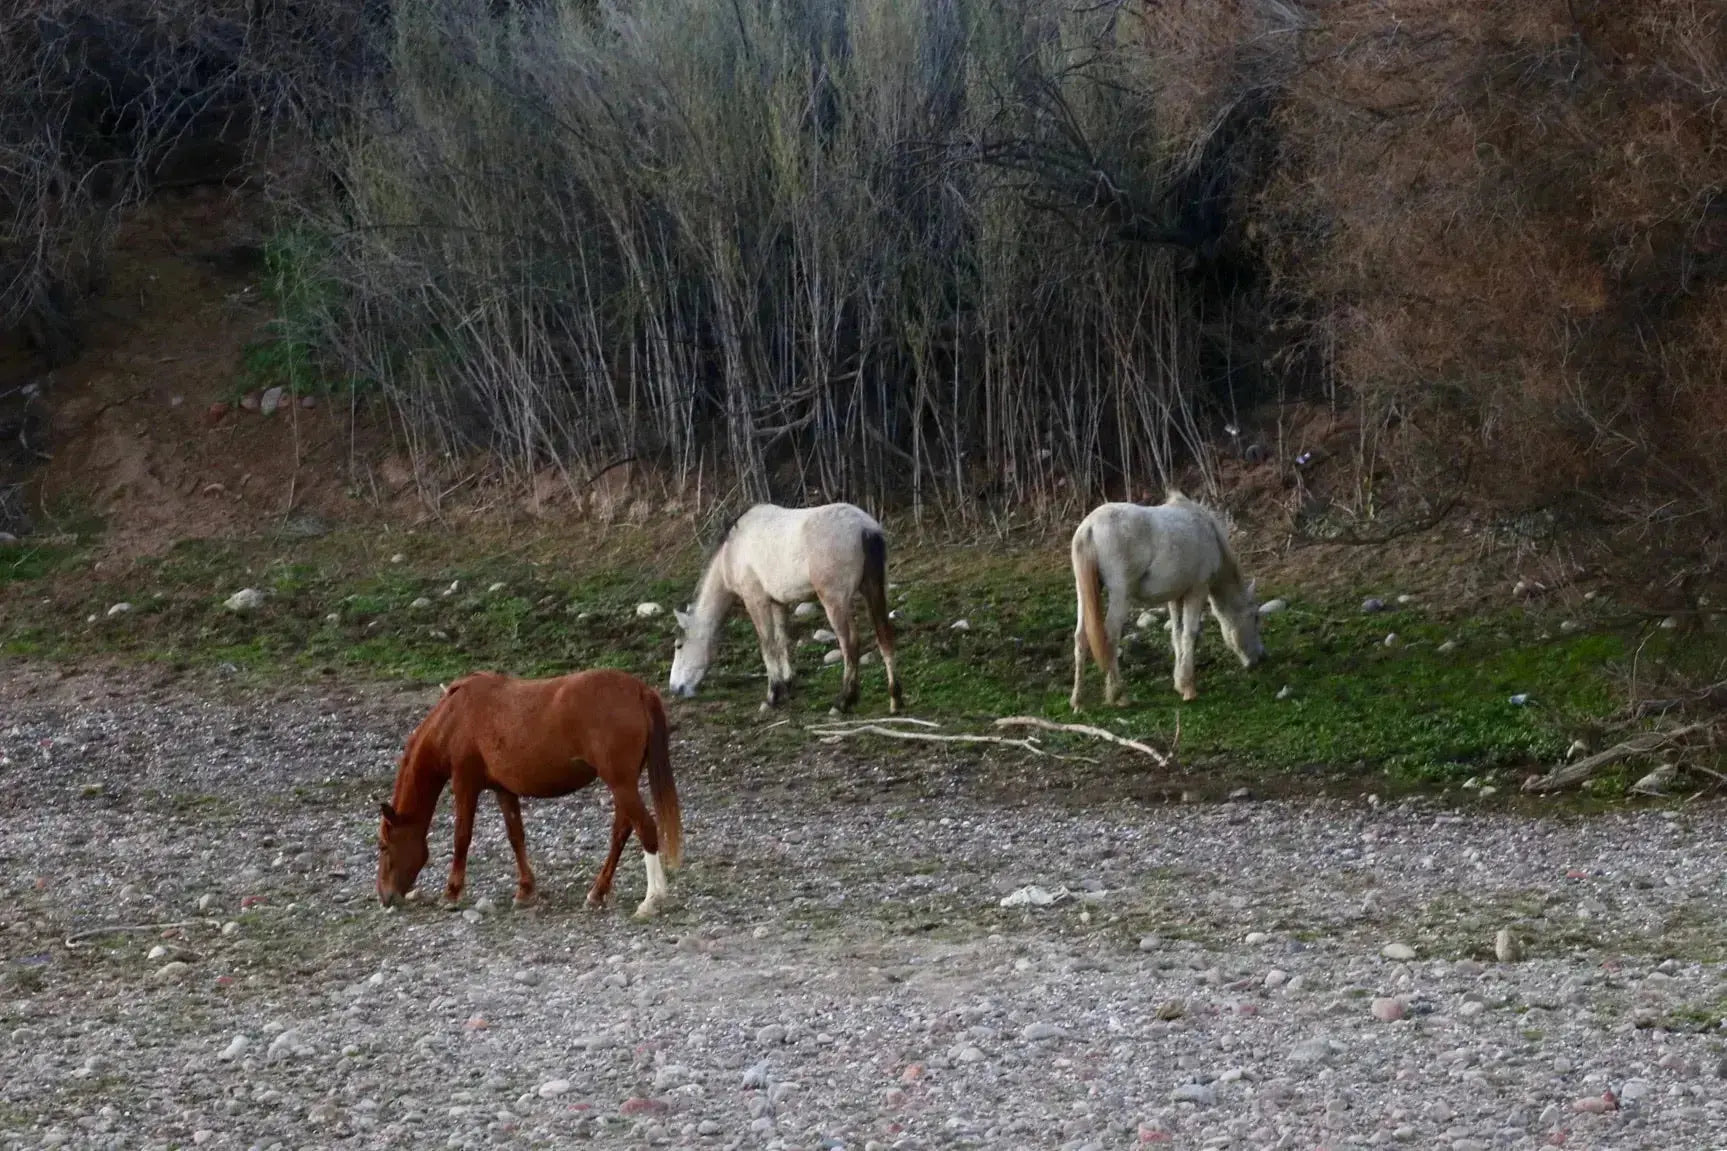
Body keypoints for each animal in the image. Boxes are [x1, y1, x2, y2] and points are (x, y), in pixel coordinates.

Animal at [375, 668, 683, 919]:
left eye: (383, 846)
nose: (384, 897)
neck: (454, 718)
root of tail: (639, 689)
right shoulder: (504, 790)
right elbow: (516, 836)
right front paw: (525, 890)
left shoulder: (464, 783)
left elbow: (462, 837)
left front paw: (451, 893)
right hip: (624, 786)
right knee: (622, 831)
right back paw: (598, 892)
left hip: (621, 784)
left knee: (646, 828)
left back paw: (651, 899)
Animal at [668, 502, 903, 714]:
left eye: (679, 645)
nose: (674, 688)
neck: (732, 552)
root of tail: (865, 528)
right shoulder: (777, 603)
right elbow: (782, 641)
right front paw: (787, 684)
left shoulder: (756, 600)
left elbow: (767, 644)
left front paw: (772, 695)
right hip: (873, 591)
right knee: (885, 636)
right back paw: (894, 700)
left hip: (835, 601)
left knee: (850, 644)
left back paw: (844, 701)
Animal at [1069, 491, 1266, 710]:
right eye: (1255, 617)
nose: (1260, 658)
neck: (1209, 533)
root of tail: (1089, 527)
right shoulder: (1197, 590)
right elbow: (1190, 633)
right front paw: (1188, 688)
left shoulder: (1175, 597)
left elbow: (1177, 633)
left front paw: (1179, 682)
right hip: (1120, 595)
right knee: (1110, 637)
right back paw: (1119, 695)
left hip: (1084, 593)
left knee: (1080, 638)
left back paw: (1078, 701)